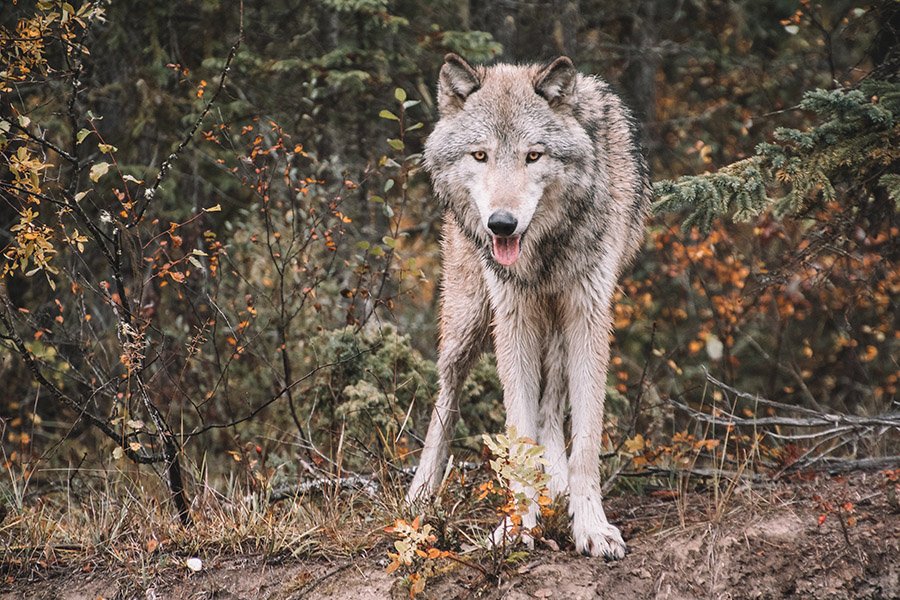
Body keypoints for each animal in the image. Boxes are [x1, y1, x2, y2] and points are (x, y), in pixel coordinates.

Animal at [406, 54, 648, 560]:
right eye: (480, 155)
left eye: (533, 156)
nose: (502, 224)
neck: (545, 250)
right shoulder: (512, 316)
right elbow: (518, 434)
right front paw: (518, 527)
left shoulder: (589, 313)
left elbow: (585, 440)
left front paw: (592, 526)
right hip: (468, 321)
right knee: (446, 395)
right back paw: (420, 493)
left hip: (554, 325)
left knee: (552, 403)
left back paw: (555, 483)